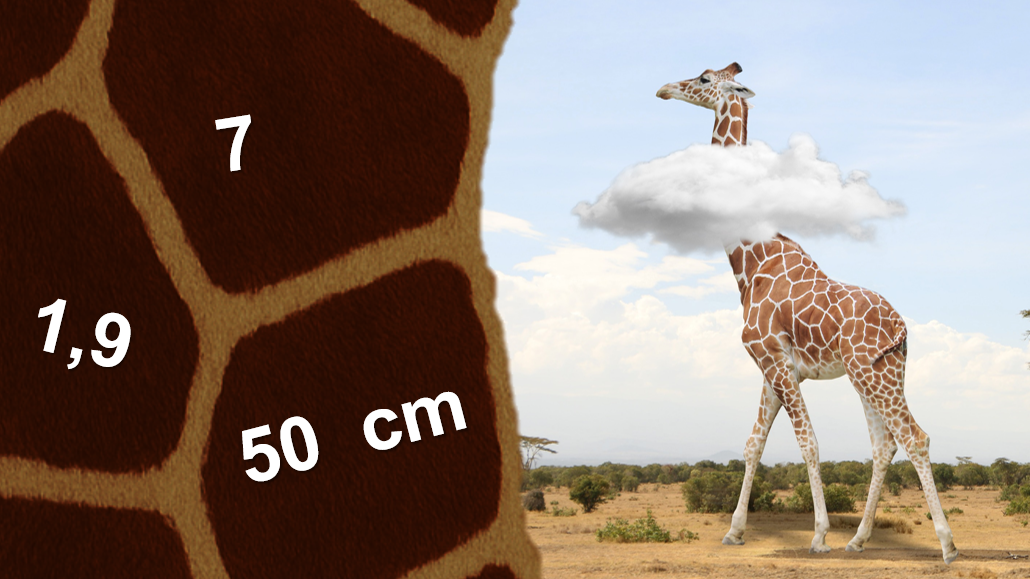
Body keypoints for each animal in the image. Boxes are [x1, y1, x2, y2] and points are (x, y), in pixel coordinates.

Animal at [656, 63, 959, 564]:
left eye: (702, 77)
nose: (664, 89)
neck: (751, 263)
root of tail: (901, 327)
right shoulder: (773, 367)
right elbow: (753, 444)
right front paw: (734, 531)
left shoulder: (775, 363)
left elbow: (808, 443)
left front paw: (818, 535)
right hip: (877, 372)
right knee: (884, 445)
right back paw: (859, 539)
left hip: (871, 374)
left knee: (914, 437)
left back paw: (947, 544)